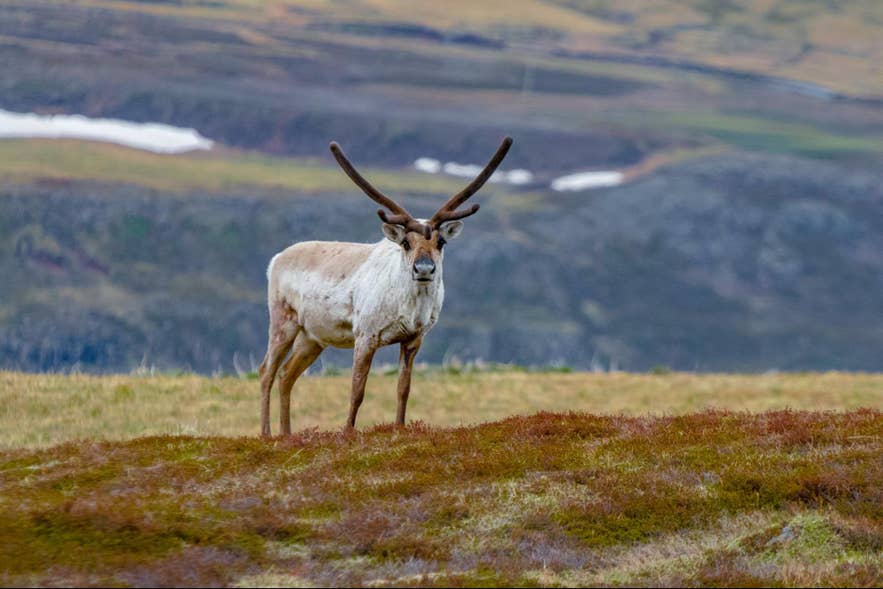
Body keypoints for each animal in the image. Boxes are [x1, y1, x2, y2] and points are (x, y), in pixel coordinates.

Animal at [259, 136, 513, 435]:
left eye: (441, 242)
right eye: (405, 242)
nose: (424, 269)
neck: (410, 308)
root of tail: (275, 259)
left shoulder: (414, 338)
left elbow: (403, 388)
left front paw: (399, 428)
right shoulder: (365, 334)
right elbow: (357, 390)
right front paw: (347, 433)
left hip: (313, 335)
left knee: (286, 374)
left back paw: (287, 435)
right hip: (283, 320)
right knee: (267, 371)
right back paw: (266, 434)